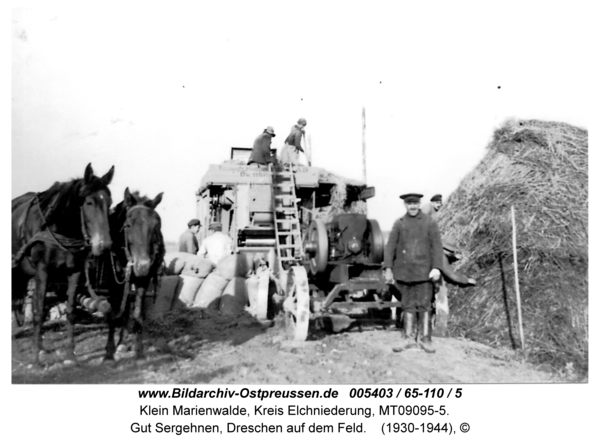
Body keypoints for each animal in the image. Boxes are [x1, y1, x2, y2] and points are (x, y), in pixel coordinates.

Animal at [11, 163, 115, 364]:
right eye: (89, 202)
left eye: (110, 202)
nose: (104, 245)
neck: (58, 229)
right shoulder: (42, 271)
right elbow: (37, 313)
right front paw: (35, 360)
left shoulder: (74, 271)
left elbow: (70, 310)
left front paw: (69, 355)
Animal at [102, 186, 164, 360]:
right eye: (128, 225)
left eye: (156, 225)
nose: (142, 266)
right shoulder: (113, 283)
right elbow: (114, 313)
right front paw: (109, 351)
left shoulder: (143, 281)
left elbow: (137, 315)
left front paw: (139, 351)